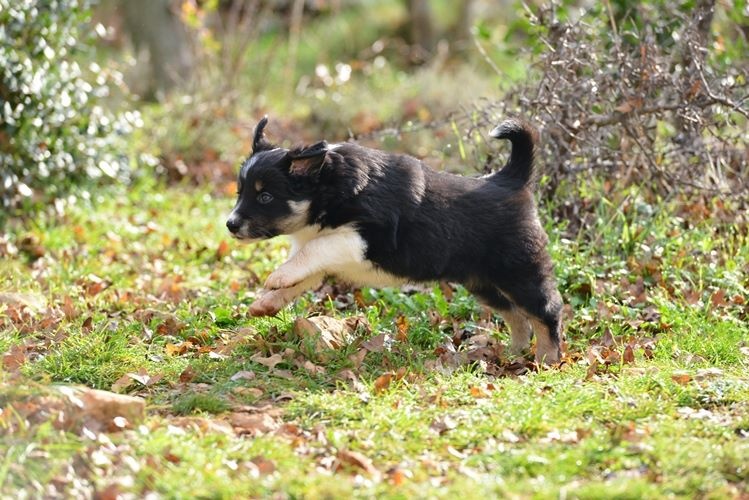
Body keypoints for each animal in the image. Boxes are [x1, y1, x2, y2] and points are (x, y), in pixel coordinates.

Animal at [226, 117, 560, 364]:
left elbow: (312, 250)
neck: (326, 191)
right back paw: (514, 353)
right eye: (240, 192)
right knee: (516, 315)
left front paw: (276, 277)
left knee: (547, 310)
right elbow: (301, 271)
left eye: (265, 197)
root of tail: (511, 179)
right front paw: (265, 303)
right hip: (482, 282)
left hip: (519, 271)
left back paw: (546, 359)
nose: (230, 225)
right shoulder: (323, 257)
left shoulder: (364, 237)